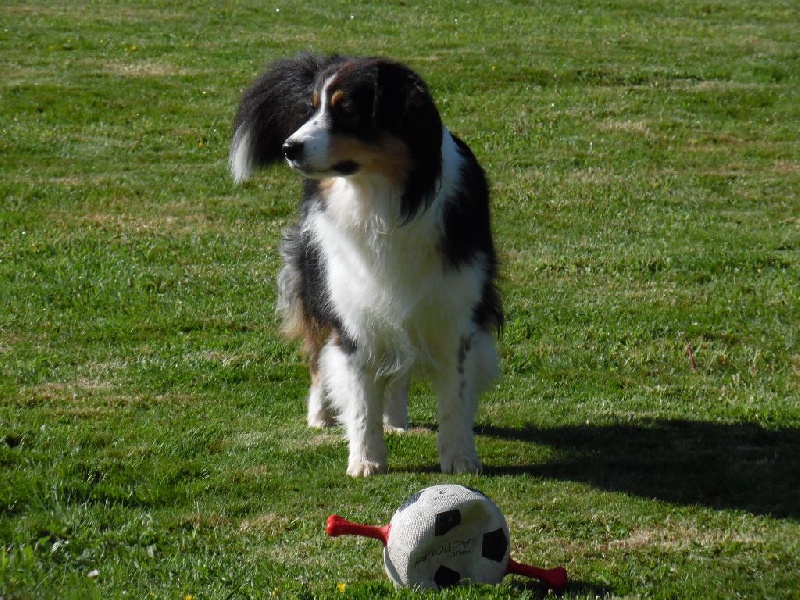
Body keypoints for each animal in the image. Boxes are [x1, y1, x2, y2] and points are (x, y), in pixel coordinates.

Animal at [230, 55, 500, 478]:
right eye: (312, 108)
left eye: (348, 110)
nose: (289, 147)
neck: (383, 200)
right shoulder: (353, 311)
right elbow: (359, 399)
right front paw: (366, 460)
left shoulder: (455, 312)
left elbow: (454, 399)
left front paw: (460, 460)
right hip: (315, 282)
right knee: (318, 357)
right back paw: (321, 413)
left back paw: (397, 419)